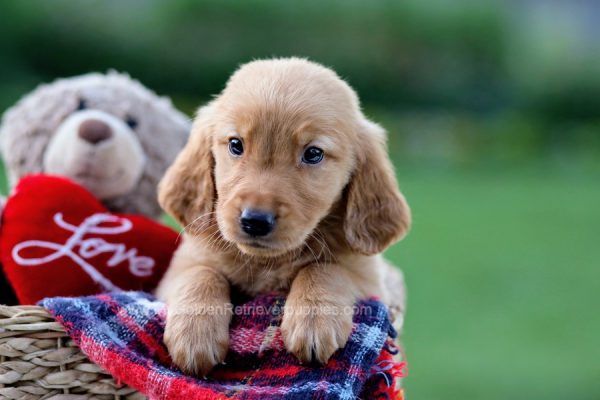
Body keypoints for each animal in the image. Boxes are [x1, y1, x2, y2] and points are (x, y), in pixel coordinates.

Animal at [156, 57, 408, 376]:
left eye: (313, 154)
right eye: (236, 144)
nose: (254, 221)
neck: (268, 263)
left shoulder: (369, 279)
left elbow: (324, 268)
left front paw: (314, 320)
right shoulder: (177, 270)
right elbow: (201, 273)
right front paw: (193, 334)